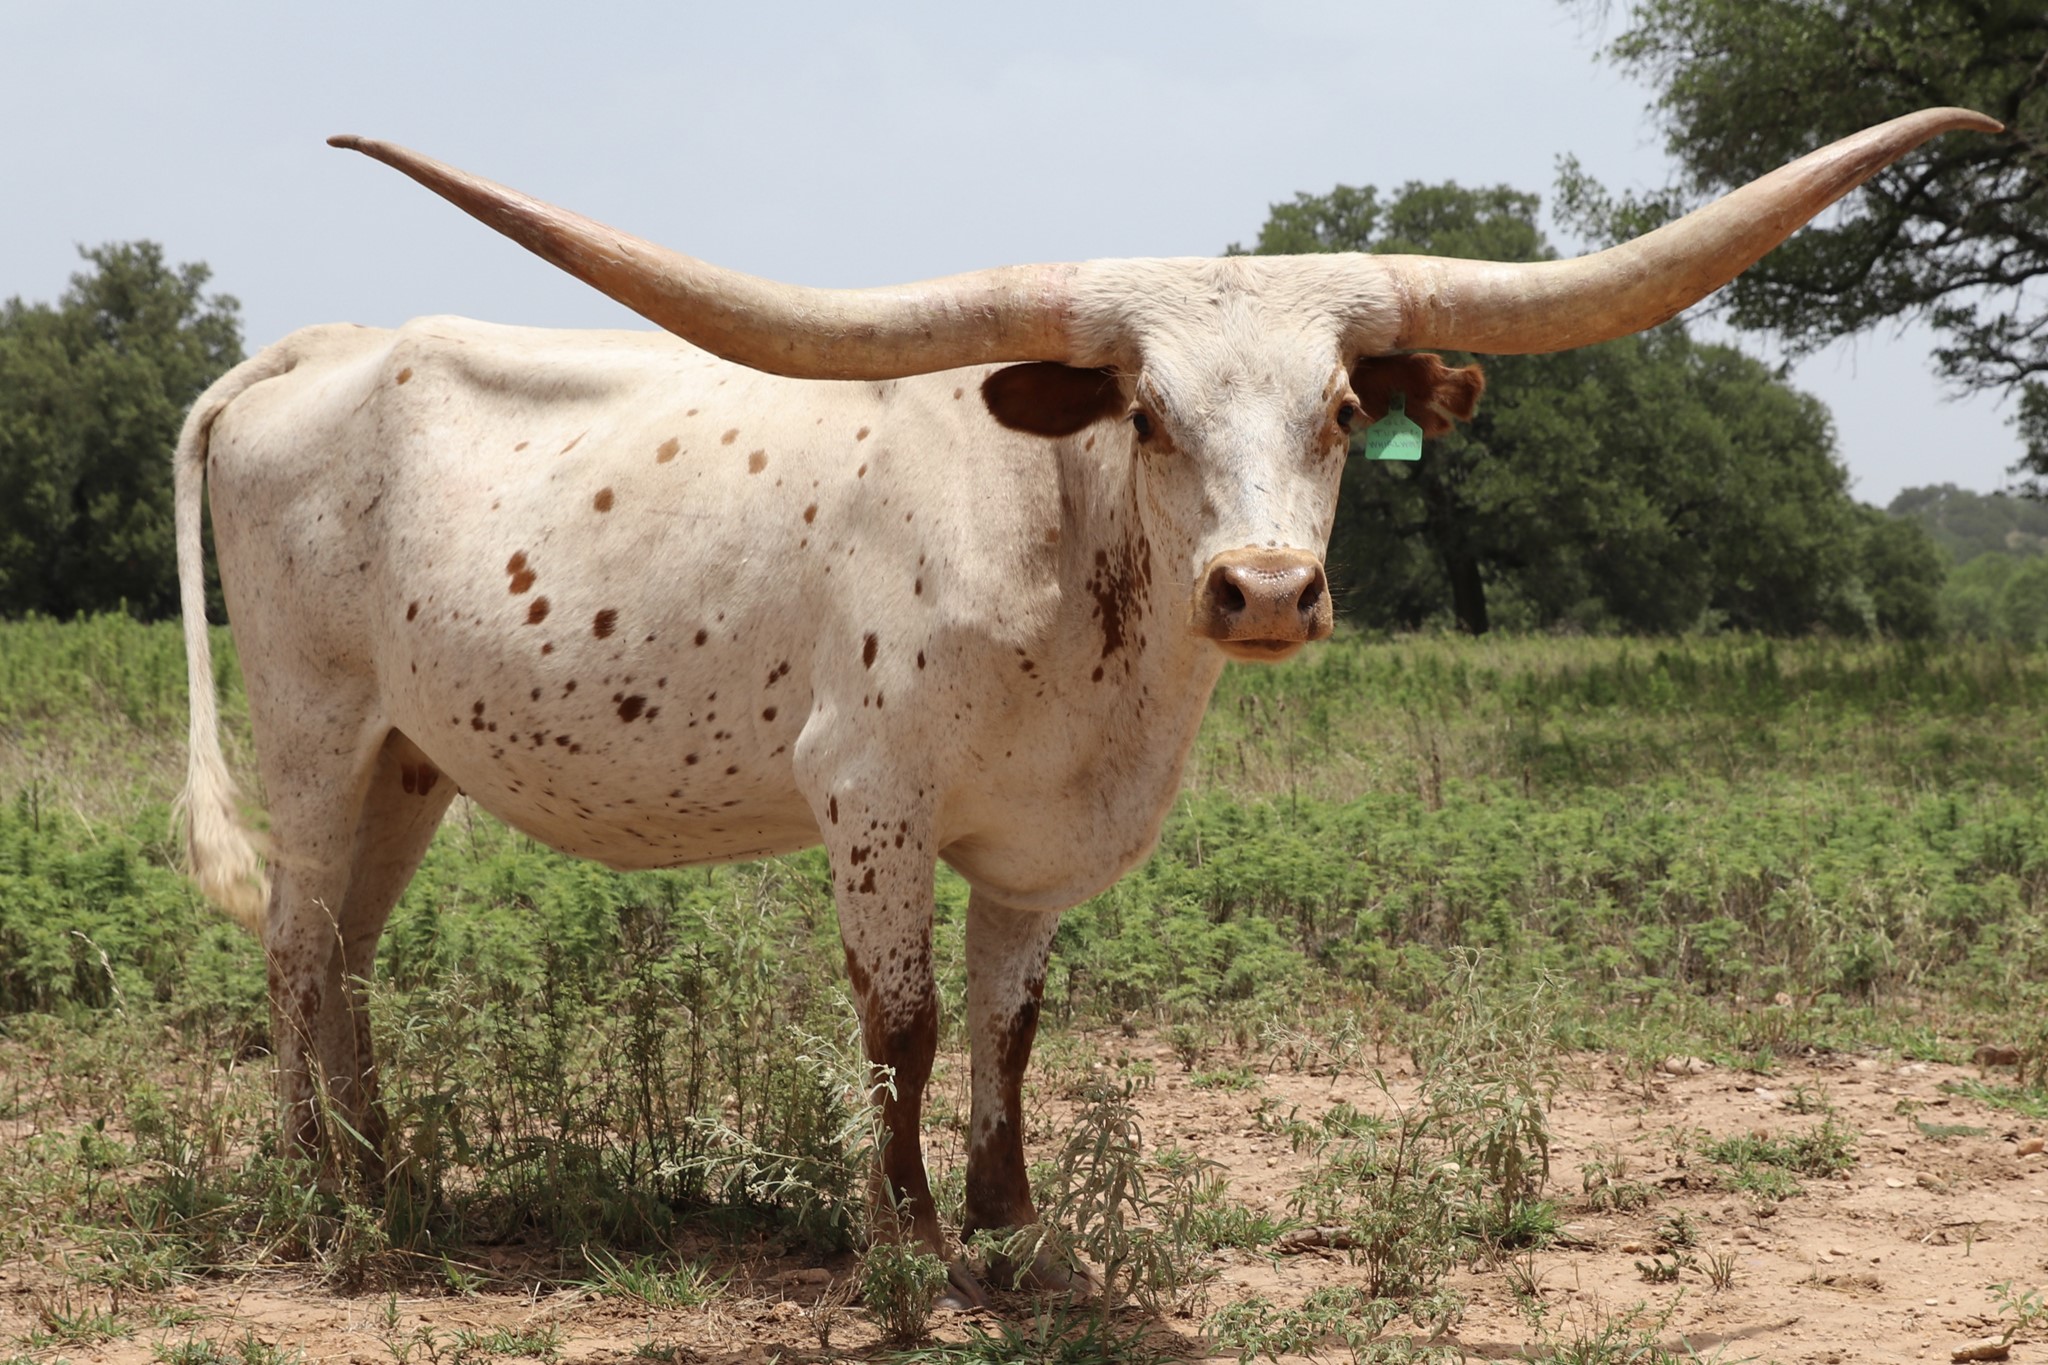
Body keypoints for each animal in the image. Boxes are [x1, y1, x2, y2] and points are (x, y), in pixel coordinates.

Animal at [176, 108, 1996, 1302]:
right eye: (1146, 412)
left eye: (1344, 411)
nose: (1263, 591)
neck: (1074, 588)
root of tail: (306, 352)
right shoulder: (869, 798)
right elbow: (904, 1023)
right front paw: (907, 1249)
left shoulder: (1041, 843)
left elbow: (1013, 1025)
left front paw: (1012, 1229)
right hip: (314, 731)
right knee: (293, 944)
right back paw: (331, 1199)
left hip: (410, 758)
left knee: (348, 951)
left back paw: (390, 1169)